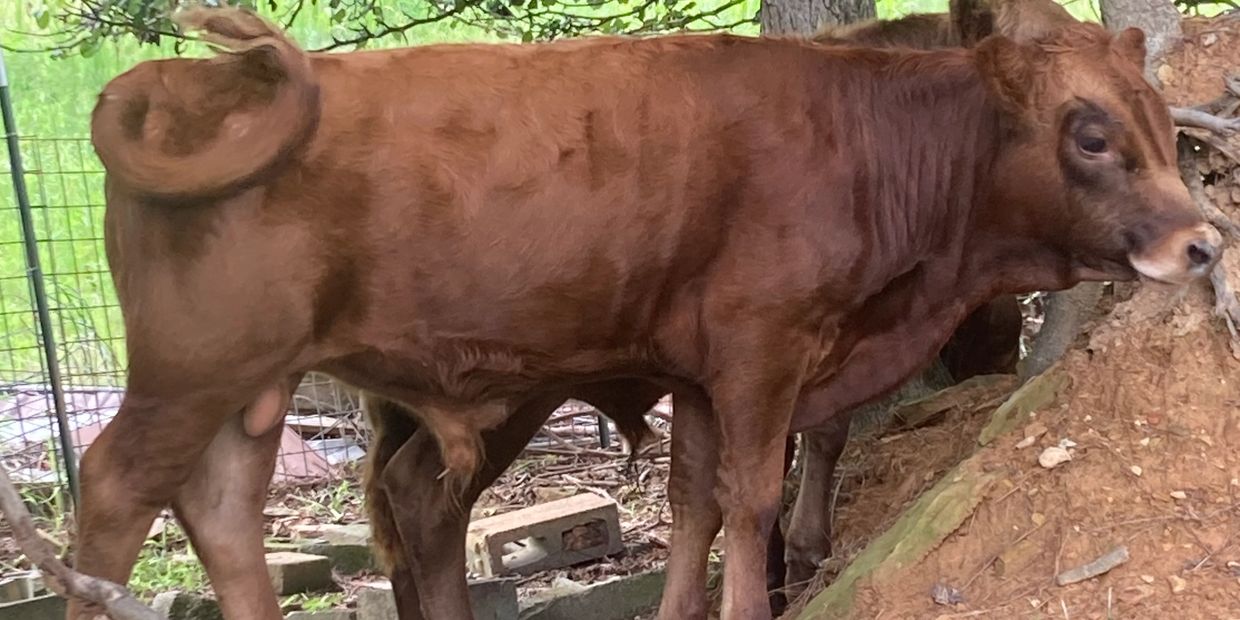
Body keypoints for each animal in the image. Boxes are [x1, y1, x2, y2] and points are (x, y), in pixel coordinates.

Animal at [78, 6, 1218, 620]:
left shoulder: (701, 373)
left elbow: (694, 502)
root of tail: (177, 79)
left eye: (1163, 122)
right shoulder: (764, 349)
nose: (1201, 242)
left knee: (242, 514)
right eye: (1089, 133)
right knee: (116, 490)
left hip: (257, 388)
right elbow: (752, 498)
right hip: (195, 373)